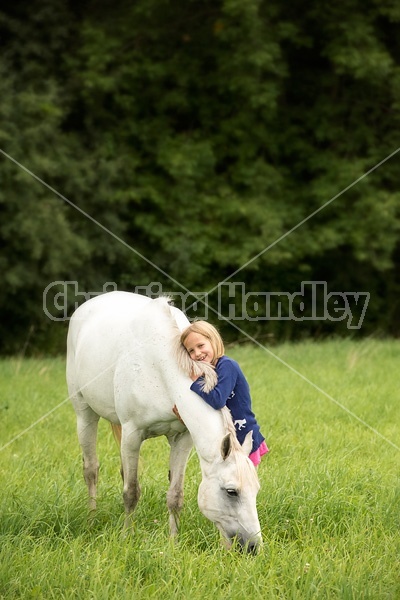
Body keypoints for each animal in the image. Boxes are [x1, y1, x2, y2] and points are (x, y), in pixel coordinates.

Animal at [66, 292, 262, 552]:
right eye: (232, 492)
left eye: (256, 490)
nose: (253, 547)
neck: (160, 366)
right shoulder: (132, 434)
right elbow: (131, 492)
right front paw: (126, 538)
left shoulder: (182, 438)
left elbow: (175, 495)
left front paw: (173, 543)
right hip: (84, 413)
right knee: (91, 469)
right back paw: (91, 519)